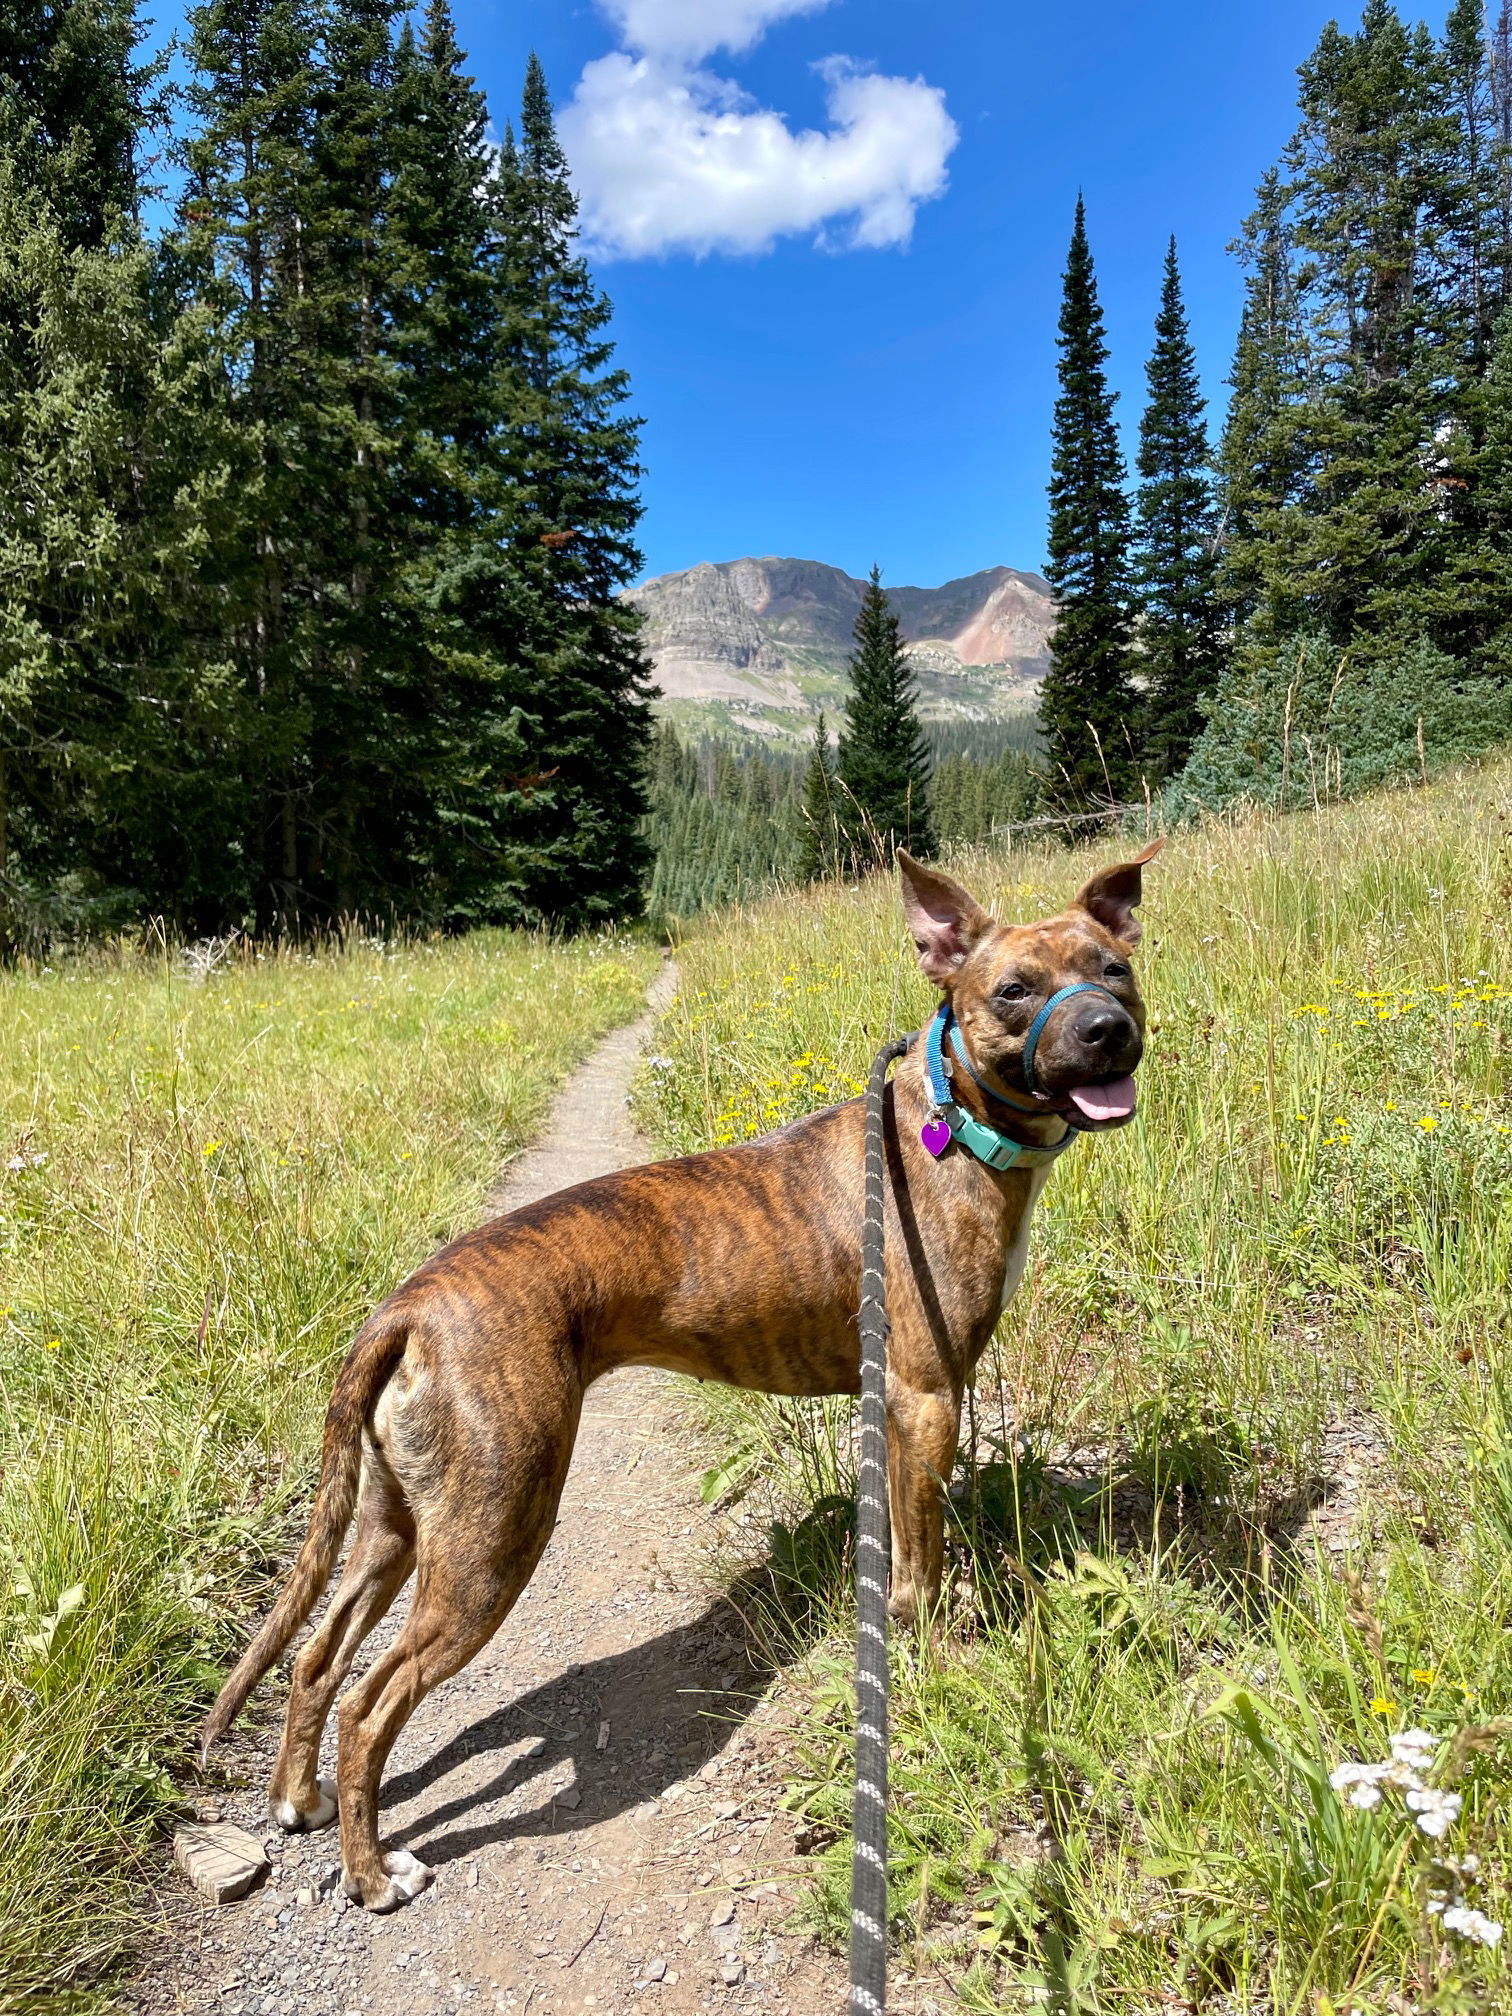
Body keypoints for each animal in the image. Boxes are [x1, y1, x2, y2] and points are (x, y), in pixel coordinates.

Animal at [201, 842, 1169, 1911]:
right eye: (1012, 990)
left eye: (1115, 966)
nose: (1107, 1028)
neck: (956, 1121)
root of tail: (408, 1306)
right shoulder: (928, 1400)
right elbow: (920, 1564)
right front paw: (929, 1653)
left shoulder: (891, 1409)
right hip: (493, 1536)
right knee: (370, 1703)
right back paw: (375, 1874)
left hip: (397, 1523)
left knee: (317, 1661)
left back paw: (301, 1800)